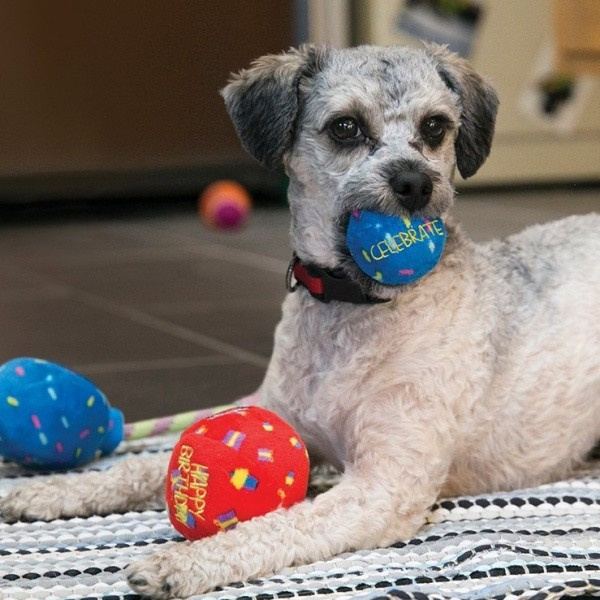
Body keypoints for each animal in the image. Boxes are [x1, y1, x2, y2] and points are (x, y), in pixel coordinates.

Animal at [2, 43, 600, 599]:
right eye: (345, 127)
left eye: (435, 126)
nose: (415, 183)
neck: (354, 308)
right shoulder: (278, 415)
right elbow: (140, 464)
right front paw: (50, 493)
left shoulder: (385, 486)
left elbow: (281, 523)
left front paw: (184, 562)